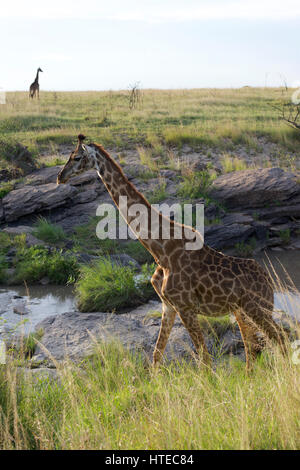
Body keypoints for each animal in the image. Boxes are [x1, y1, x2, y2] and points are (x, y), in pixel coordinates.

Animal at [56, 134, 288, 370]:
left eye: (76, 157)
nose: (60, 177)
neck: (161, 251)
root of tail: (268, 280)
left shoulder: (185, 307)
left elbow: (204, 359)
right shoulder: (168, 305)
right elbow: (157, 355)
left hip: (257, 308)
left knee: (278, 339)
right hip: (242, 311)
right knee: (252, 347)